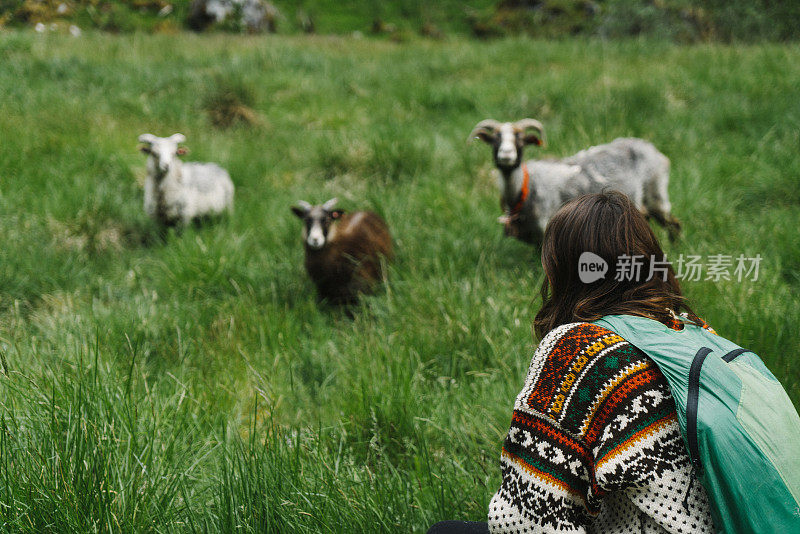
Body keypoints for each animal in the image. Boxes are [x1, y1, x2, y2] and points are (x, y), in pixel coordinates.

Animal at [468, 119, 680, 245]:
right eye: (495, 140)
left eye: (520, 140)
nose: (506, 155)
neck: (525, 189)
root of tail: (651, 148)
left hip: (656, 192)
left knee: (673, 224)